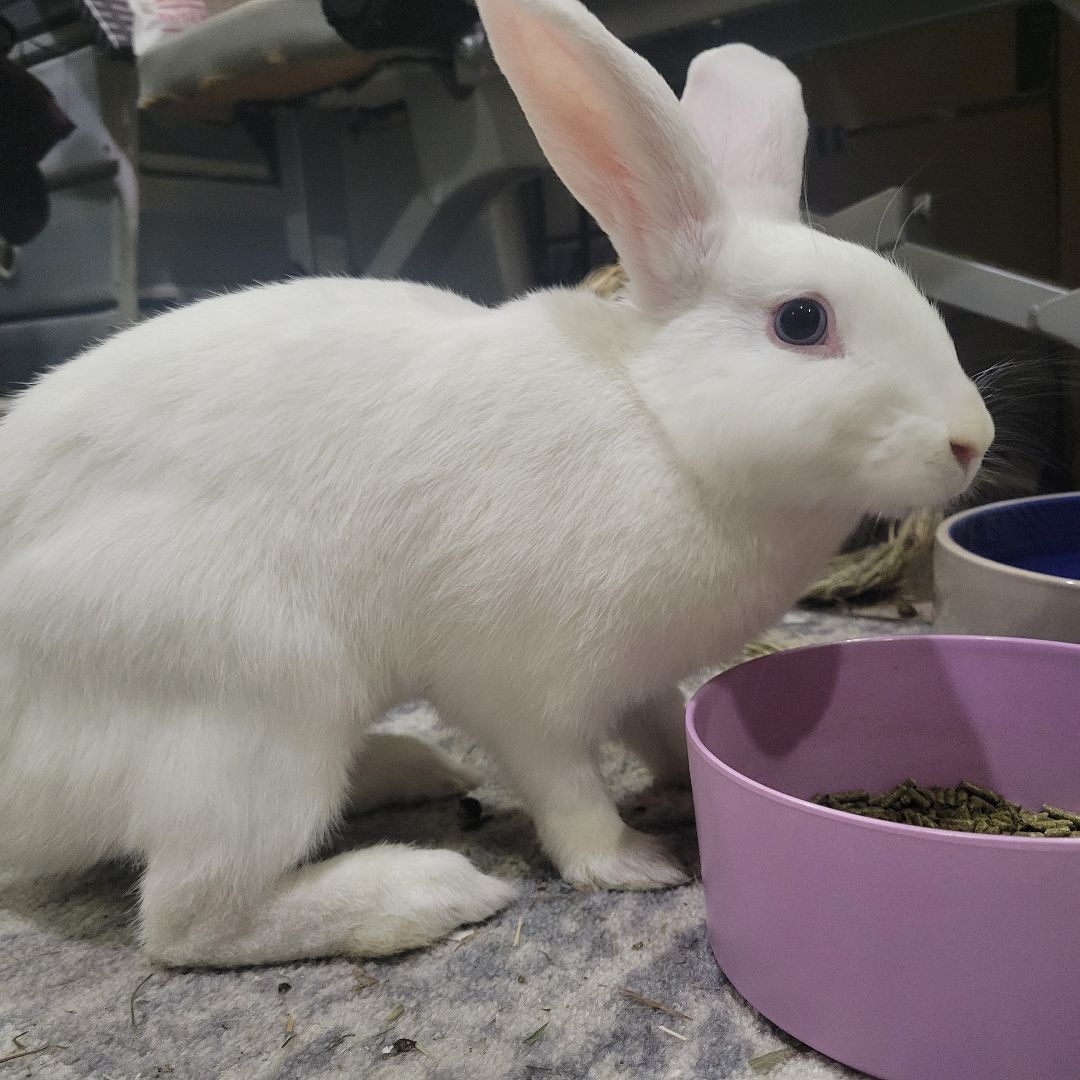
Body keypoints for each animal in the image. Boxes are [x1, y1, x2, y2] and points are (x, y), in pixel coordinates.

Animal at [0, 0, 993, 967]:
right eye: (801, 322)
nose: (972, 440)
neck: (663, 426)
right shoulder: (520, 688)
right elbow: (566, 788)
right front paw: (629, 864)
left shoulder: (635, 677)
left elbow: (660, 722)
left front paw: (682, 776)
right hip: (257, 710)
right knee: (188, 920)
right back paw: (425, 892)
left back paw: (415, 772)